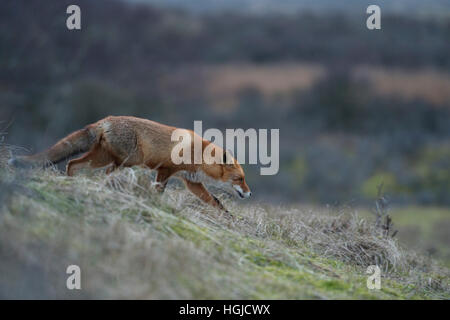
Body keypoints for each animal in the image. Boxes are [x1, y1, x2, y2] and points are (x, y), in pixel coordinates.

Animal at [8, 115, 251, 212]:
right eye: (240, 179)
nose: (249, 194)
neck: (199, 156)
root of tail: (105, 120)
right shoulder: (166, 169)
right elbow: (159, 190)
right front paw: (155, 203)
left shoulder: (192, 182)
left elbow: (215, 201)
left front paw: (228, 218)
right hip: (125, 160)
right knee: (86, 167)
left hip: (104, 158)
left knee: (73, 164)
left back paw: (74, 184)